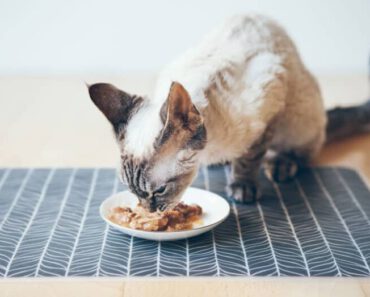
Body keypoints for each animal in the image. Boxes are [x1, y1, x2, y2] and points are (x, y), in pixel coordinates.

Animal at [87, 13, 370, 210]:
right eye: (133, 192)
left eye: (159, 192)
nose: (149, 210)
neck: (207, 152)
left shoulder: (269, 107)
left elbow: (249, 158)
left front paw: (242, 186)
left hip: (298, 121)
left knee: (303, 151)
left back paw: (280, 164)